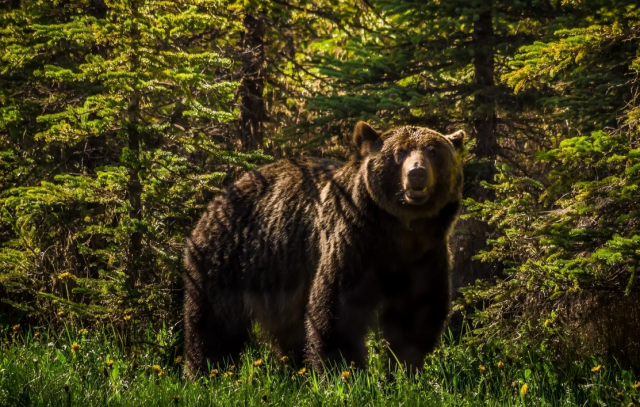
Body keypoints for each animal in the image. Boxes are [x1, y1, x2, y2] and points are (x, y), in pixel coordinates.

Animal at [182, 122, 462, 374]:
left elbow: (415, 313)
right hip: (226, 259)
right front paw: (345, 371)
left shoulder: (425, 255)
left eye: (433, 151)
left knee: (287, 328)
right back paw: (206, 370)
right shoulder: (353, 243)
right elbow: (337, 308)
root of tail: (215, 201)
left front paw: (405, 369)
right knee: (214, 324)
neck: (398, 232)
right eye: (400, 152)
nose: (417, 173)